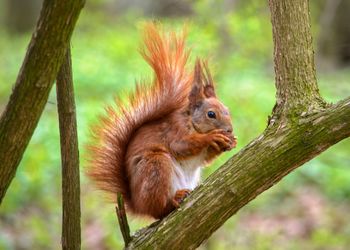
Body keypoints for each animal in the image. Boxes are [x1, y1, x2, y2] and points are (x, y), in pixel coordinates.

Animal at [86, 23, 237, 219]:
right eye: (211, 114)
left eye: (227, 110)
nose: (229, 130)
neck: (190, 122)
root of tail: (138, 205)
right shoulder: (174, 131)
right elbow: (181, 146)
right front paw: (211, 137)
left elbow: (205, 158)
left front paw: (231, 142)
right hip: (156, 166)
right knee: (159, 209)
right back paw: (173, 201)